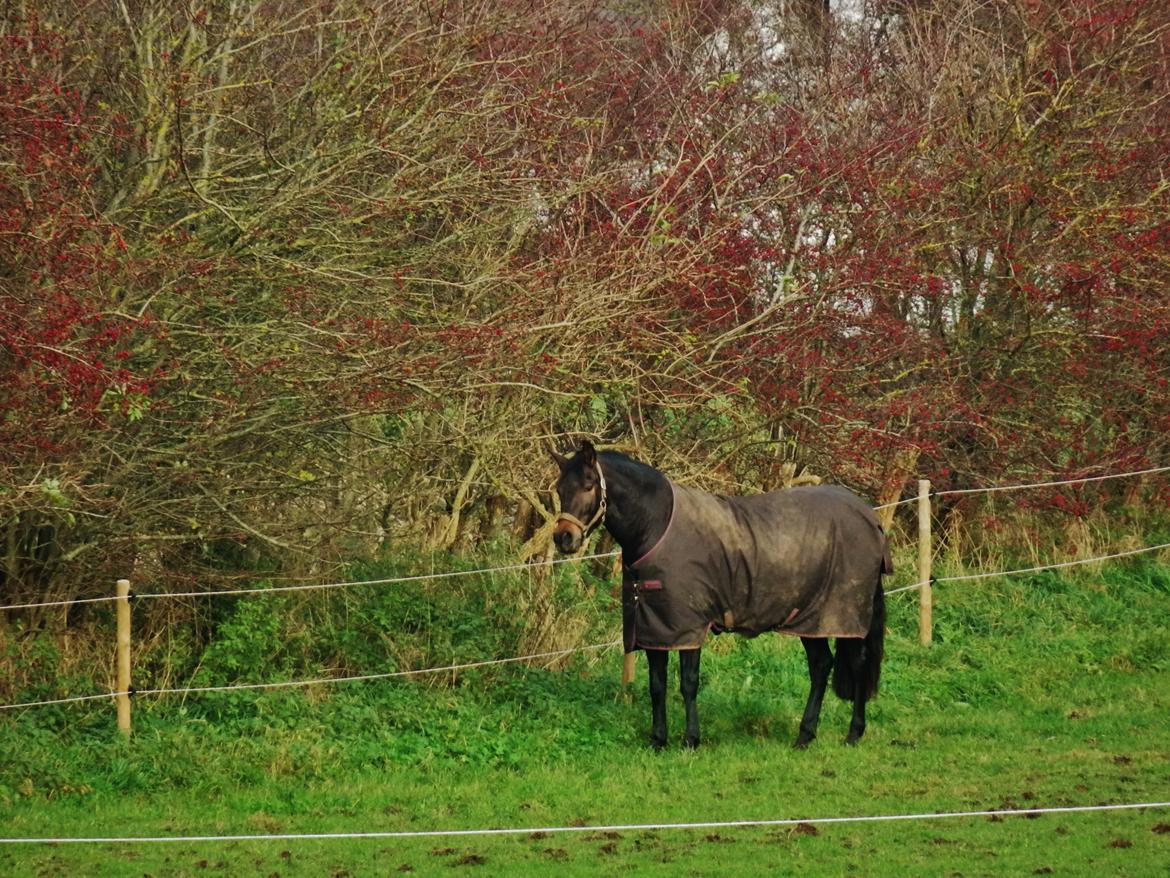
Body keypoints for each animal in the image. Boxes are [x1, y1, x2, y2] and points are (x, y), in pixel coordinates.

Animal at [552, 440, 889, 749]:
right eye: (558, 489)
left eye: (588, 485)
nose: (563, 538)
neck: (657, 527)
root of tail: (871, 518)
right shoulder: (656, 628)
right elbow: (657, 685)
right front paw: (658, 740)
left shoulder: (688, 626)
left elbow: (688, 683)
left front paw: (691, 739)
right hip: (810, 618)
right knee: (821, 666)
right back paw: (804, 736)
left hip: (842, 614)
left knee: (857, 664)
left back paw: (853, 733)